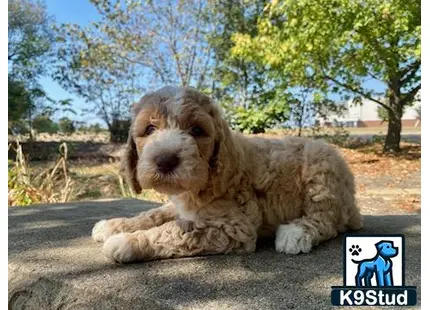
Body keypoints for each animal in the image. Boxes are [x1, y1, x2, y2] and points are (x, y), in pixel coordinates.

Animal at [93, 86, 362, 262]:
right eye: (149, 129)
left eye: (197, 130)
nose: (165, 160)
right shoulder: (182, 204)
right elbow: (153, 214)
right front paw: (113, 226)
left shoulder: (234, 227)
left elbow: (175, 231)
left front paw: (127, 242)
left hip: (321, 173)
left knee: (326, 220)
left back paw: (295, 233)